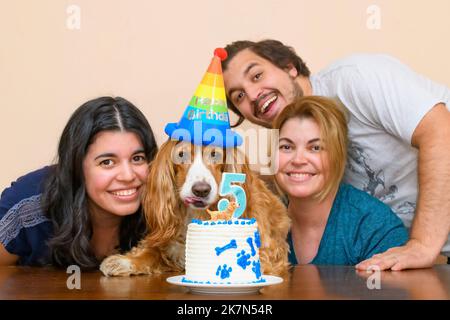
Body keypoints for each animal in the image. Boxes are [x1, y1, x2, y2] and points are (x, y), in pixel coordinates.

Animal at [100, 141, 290, 276]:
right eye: (181, 155)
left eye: (215, 154)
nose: (201, 190)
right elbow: (151, 252)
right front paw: (124, 261)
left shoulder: (268, 253)